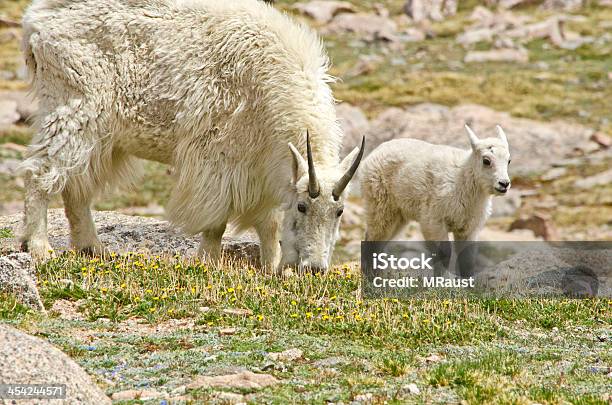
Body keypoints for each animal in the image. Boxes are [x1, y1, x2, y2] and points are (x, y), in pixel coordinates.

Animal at [17, 1, 364, 272]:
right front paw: (208, 263)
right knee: (41, 173)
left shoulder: (262, 169)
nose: (315, 268)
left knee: (76, 186)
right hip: (74, 106)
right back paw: (39, 248)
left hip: (102, 135)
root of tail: (36, 23)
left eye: (339, 212)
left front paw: (273, 268)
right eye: (303, 207)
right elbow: (217, 221)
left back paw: (93, 249)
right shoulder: (217, 155)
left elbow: (269, 223)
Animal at [358, 124, 512, 241]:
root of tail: (370, 156)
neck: (462, 180)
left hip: (398, 216)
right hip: (380, 207)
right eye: (486, 160)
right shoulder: (434, 222)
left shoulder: (468, 229)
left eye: (509, 160)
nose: (504, 184)